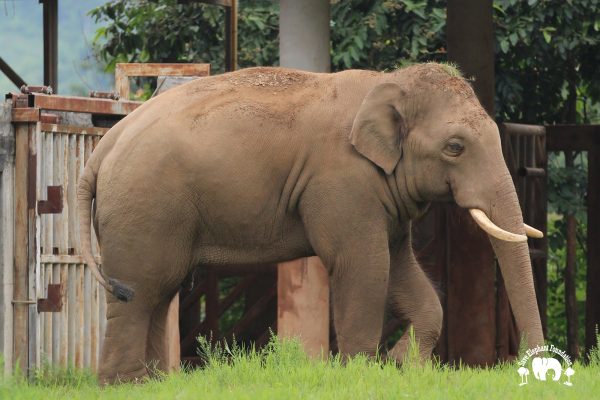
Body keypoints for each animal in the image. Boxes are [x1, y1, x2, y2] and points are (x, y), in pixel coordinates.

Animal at [77, 61, 548, 382]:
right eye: (455, 147)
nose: (535, 369)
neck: (386, 82)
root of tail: (104, 148)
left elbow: (401, 270)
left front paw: (401, 366)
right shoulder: (344, 182)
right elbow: (364, 265)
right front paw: (362, 374)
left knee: (160, 290)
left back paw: (153, 382)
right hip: (144, 206)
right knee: (139, 291)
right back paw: (123, 384)